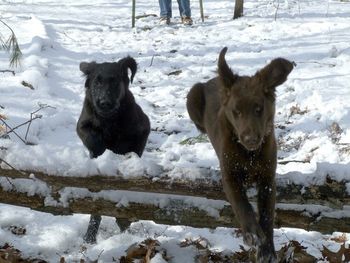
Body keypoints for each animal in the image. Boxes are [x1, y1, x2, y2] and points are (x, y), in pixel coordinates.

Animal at [77, 56, 150, 244]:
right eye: (97, 82)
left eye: (115, 81)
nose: (104, 103)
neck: (109, 120)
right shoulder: (82, 123)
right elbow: (91, 136)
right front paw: (100, 151)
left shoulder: (143, 129)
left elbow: (133, 150)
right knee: (96, 208)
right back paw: (90, 237)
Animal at [187, 48, 294, 263]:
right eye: (236, 111)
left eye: (259, 109)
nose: (251, 139)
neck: (249, 154)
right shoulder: (229, 175)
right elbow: (241, 204)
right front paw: (252, 233)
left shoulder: (268, 178)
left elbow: (267, 214)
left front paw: (267, 251)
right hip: (192, 96)